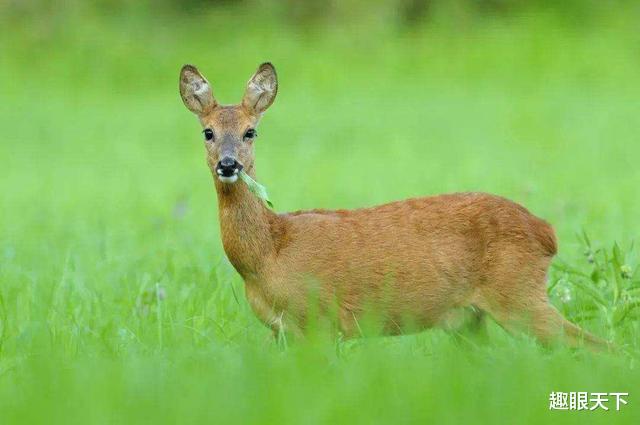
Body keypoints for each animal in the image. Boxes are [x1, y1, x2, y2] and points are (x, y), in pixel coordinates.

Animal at [178, 62, 608, 348]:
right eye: (208, 132)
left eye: (251, 131)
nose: (228, 165)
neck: (269, 253)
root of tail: (546, 232)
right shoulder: (285, 333)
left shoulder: (322, 321)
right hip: (470, 320)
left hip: (517, 293)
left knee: (598, 346)